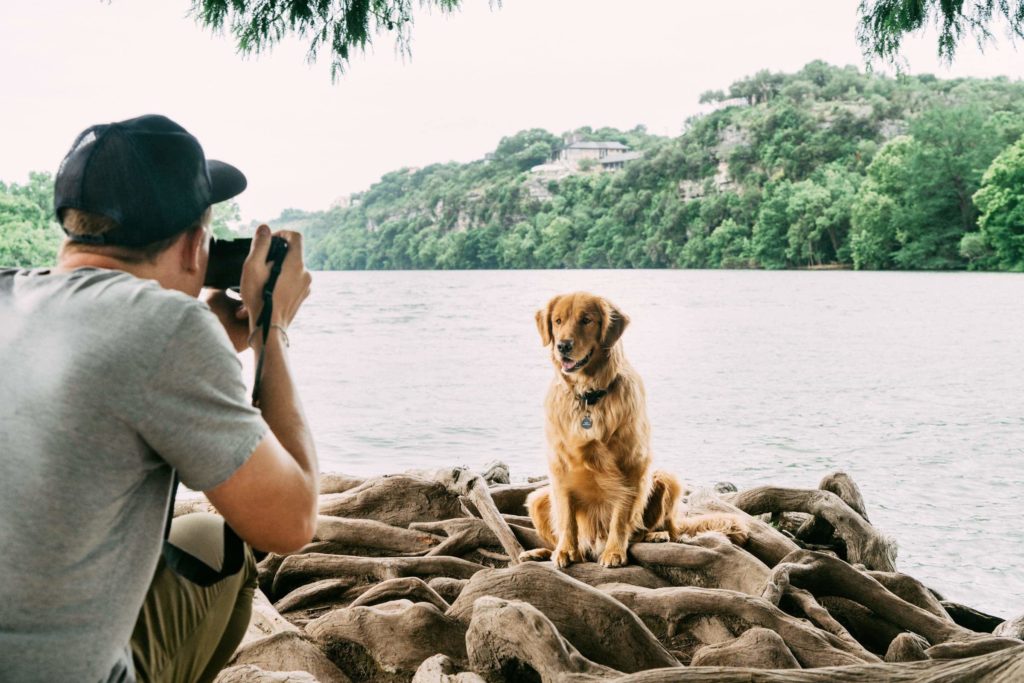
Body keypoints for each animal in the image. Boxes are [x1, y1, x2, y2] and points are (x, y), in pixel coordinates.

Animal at [524, 290, 749, 569]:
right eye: (557, 321)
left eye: (586, 320)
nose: (563, 346)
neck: (590, 396)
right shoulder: (560, 469)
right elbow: (566, 518)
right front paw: (565, 551)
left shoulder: (631, 466)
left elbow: (621, 516)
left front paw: (614, 553)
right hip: (537, 499)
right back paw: (542, 552)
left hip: (667, 479)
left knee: (667, 529)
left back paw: (656, 535)